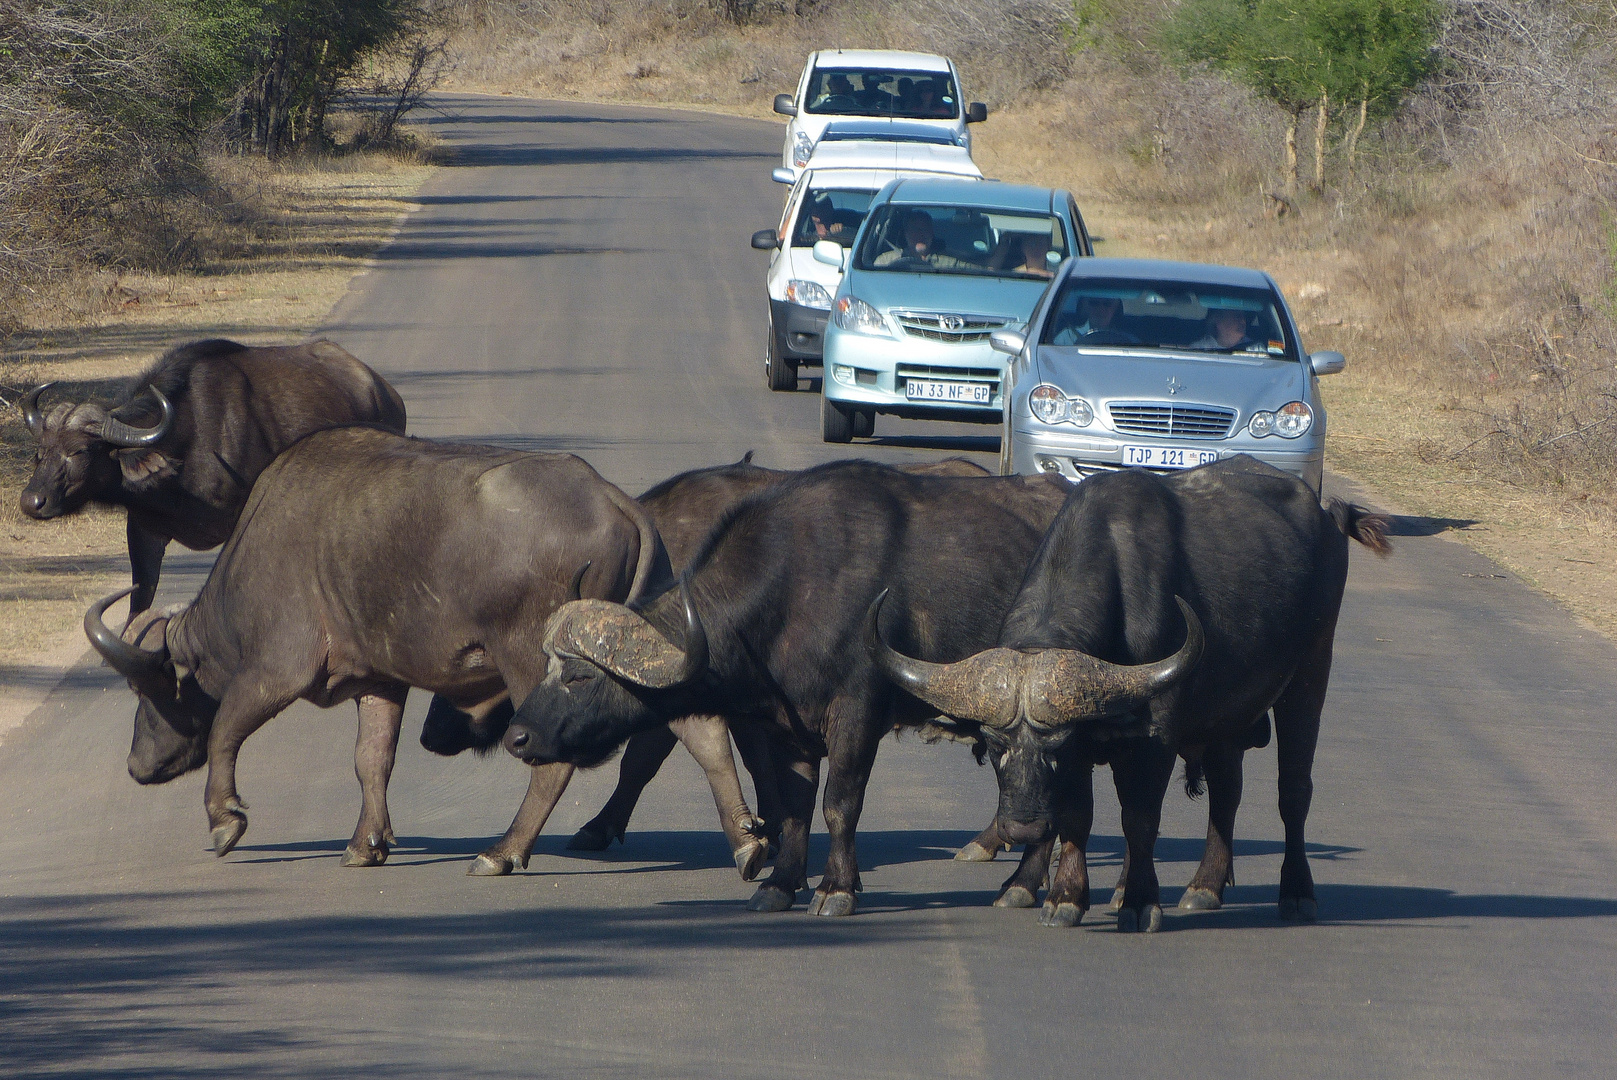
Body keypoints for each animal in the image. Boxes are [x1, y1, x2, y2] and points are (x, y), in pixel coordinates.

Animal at [23, 337, 404, 624]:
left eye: (79, 451)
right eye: (40, 451)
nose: (32, 502)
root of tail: (382, 390)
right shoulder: (144, 531)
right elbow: (138, 602)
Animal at [77, 423, 769, 866]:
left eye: (150, 691)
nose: (137, 766)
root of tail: (619, 503)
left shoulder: (278, 669)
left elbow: (226, 730)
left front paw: (224, 822)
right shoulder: (379, 680)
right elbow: (372, 759)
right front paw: (366, 845)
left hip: (531, 660)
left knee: (555, 760)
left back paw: (502, 852)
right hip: (637, 650)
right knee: (702, 731)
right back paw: (746, 844)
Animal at [491, 459, 1073, 918]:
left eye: (580, 676)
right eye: (549, 665)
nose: (517, 737)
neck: (794, 591)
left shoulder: (857, 711)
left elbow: (839, 803)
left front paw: (836, 889)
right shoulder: (787, 725)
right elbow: (793, 803)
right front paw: (780, 884)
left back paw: (1027, 885)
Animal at [873, 455, 1390, 931]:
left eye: (1056, 746)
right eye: (995, 744)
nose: (1021, 826)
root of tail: (1327, 516)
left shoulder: (1151, 740)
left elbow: (1139, 819)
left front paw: (1141, 903)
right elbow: (1077, 816)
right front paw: (1065, 897)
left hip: (1311, 671)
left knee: (1293, 789)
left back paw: (1297, 892)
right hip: (1227, 713)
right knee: (1227, 790)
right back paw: (1204, 887)